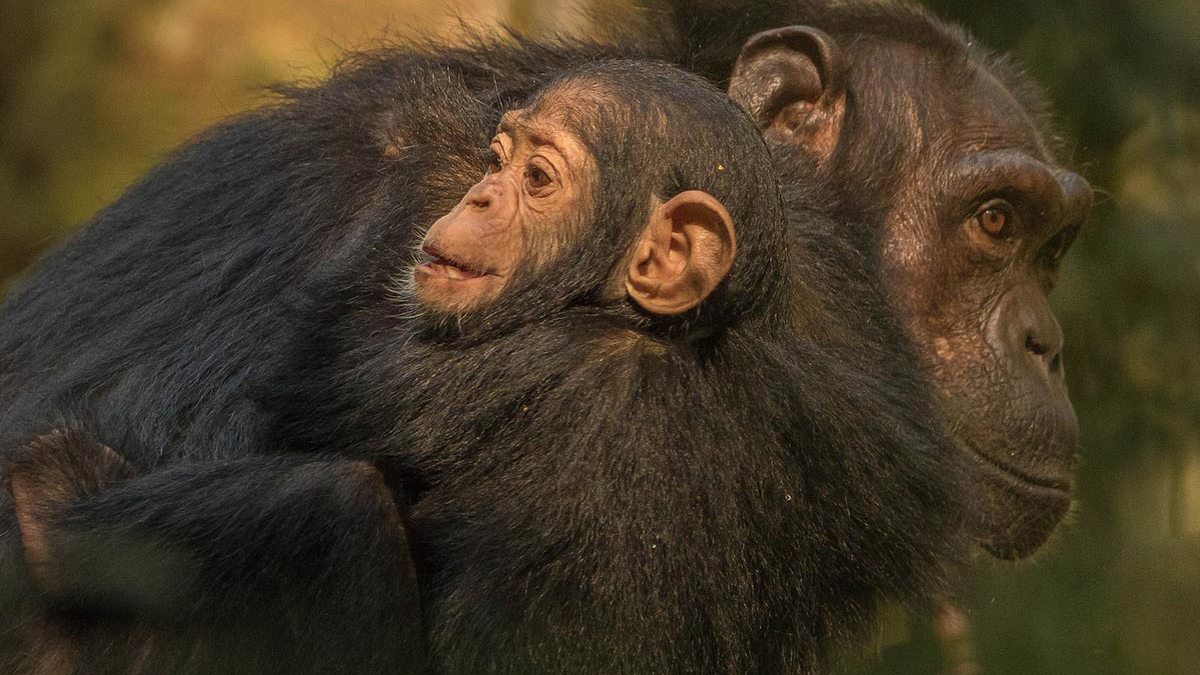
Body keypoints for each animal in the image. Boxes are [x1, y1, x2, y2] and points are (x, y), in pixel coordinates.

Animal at [0, 60, 964, 667]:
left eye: (537, 177)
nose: (480, 191)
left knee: (334, 505)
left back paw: (57, 513)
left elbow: (330, 358)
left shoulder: (514, 374)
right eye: (501, 158)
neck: (648, 327)